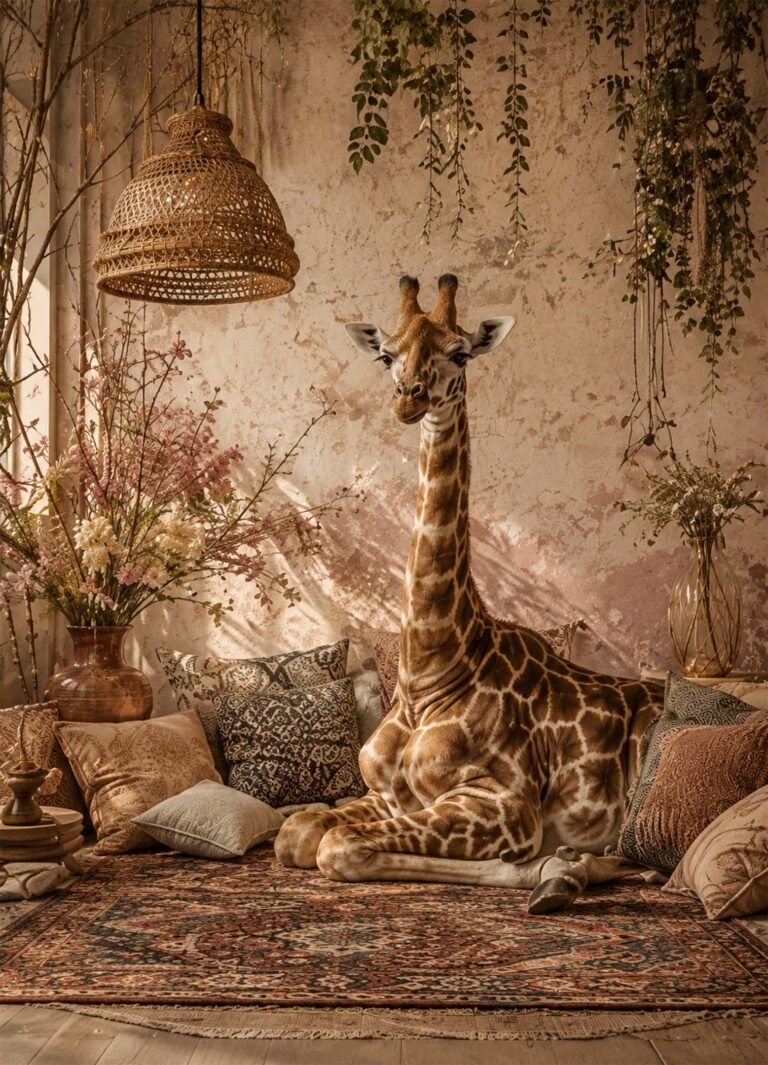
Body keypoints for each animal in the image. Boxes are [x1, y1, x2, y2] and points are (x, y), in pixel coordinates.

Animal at [274, 274, 664, 913]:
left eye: (459, 353)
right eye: (386, 354)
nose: (408, 399)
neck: (427, 675)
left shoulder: (502, 803)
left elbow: (338, 847)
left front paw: (554, 867)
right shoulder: (386, 795)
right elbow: (298, 832)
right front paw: (572, 866)